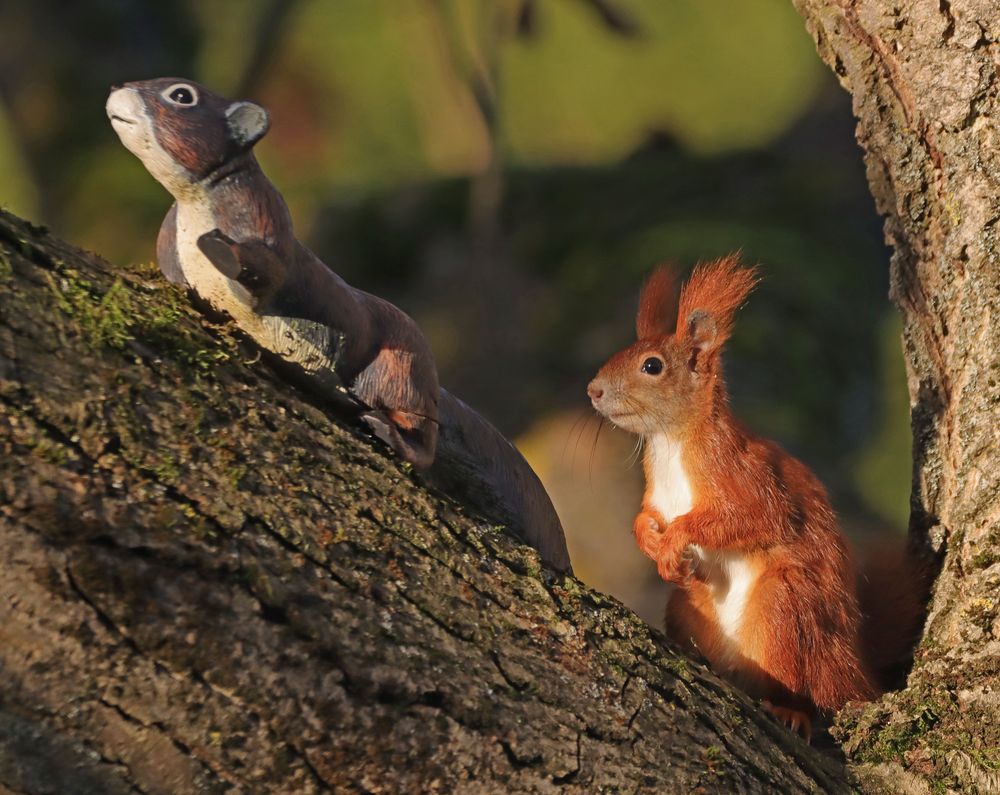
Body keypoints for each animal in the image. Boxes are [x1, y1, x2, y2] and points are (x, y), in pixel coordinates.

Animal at [107, 76, 572, 572]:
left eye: (181, 95)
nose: (118, 90)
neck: (193, 207)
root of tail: (433, 388)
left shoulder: (261, 218)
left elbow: (263, 270)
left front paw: (218, 249)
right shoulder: (170, 236)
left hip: (396, 372)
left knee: (422, 442)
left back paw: (382, 428)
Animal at [584, 260, 884, 740]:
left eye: (652, 365)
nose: (593, 390)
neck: (670, 442)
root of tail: (848, 670)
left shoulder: (746, 477)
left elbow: (751, 520)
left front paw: (675, 541)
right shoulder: (656, 494)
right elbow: (645, 516)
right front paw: (652, 543)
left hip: (785, 612)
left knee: (804, 690)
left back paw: (790, 710)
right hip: (688, 608)